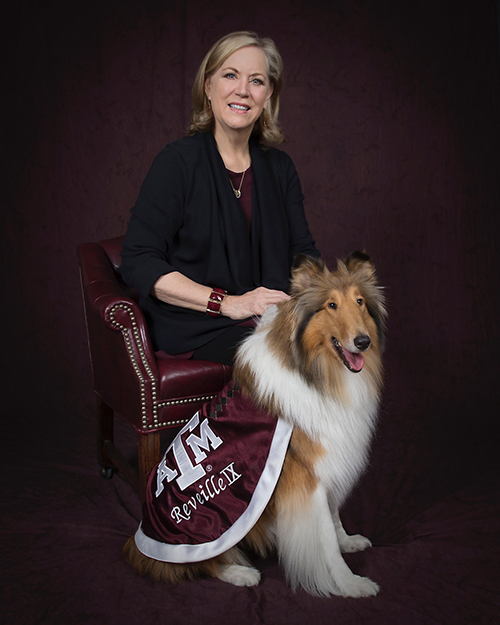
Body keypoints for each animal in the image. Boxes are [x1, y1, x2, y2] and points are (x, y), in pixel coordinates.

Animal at [122, 251, 386, 596]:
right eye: (331, 305)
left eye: (360, 302)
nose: (363, 341)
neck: (316, 371)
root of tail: (140, 542)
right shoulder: (306, 475)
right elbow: (325, 538)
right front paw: (348, 583)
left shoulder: (328, 461)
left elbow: (333, 515)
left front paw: (348, 541)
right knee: (205, 562)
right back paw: (240, 573)